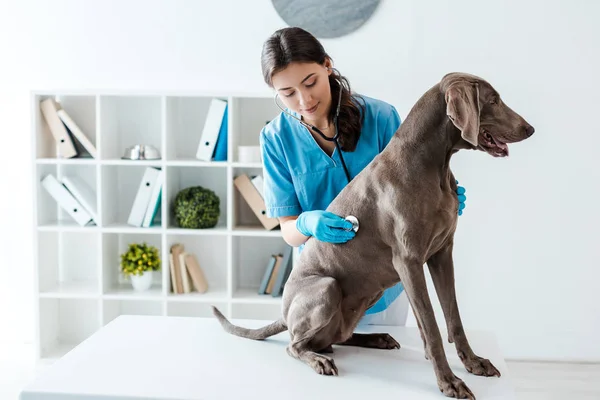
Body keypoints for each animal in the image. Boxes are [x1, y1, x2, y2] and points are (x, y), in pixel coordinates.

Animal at [213, 72, 536, 400]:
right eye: (493, 100)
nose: (530, 129)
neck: (432, 163)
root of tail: (285, 315)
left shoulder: (442, 253)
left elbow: (452, 317)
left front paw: (473, 363)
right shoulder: (408, 261)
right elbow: (431, 325)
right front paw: (449, 382)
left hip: (370, 293)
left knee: (335, 337)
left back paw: (375, 338)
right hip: (326, 288)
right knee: (295, 345)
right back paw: (320, 360)